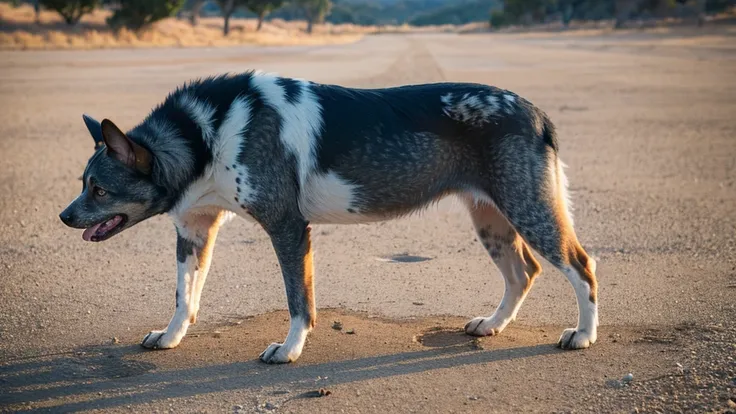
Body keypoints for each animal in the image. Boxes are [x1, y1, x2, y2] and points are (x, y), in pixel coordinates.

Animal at [57, 71, 600, 362]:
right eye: (83, 183)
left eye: (98, 188)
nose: (63, 217)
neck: (205, 135)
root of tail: (536, 112)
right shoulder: (194, 233)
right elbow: (184, 298)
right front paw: (171, 338)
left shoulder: (288, 229)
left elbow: (299, 301)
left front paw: (290, 350)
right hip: (492, 220)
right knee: (523, 272)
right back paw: (493, 324)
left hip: (528, 212)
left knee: (582, 267)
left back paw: (584, 335)